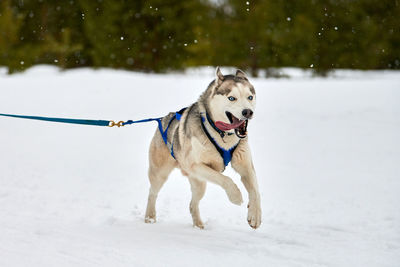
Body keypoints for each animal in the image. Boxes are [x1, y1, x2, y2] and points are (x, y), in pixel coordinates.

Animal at [145, 68, 260, 229]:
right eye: (232, 98)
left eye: (250, 97)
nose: (248, 112)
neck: (222, 134)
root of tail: (164, 118)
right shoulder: (195, 165)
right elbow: (225, 179)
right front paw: (236, 196)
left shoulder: (245, 166)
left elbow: (255, 190)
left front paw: (255, 216)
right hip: (160, 173)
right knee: (152, 193)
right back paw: (149, 218)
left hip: (199, 183)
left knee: (192, 204)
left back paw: (198, 226)